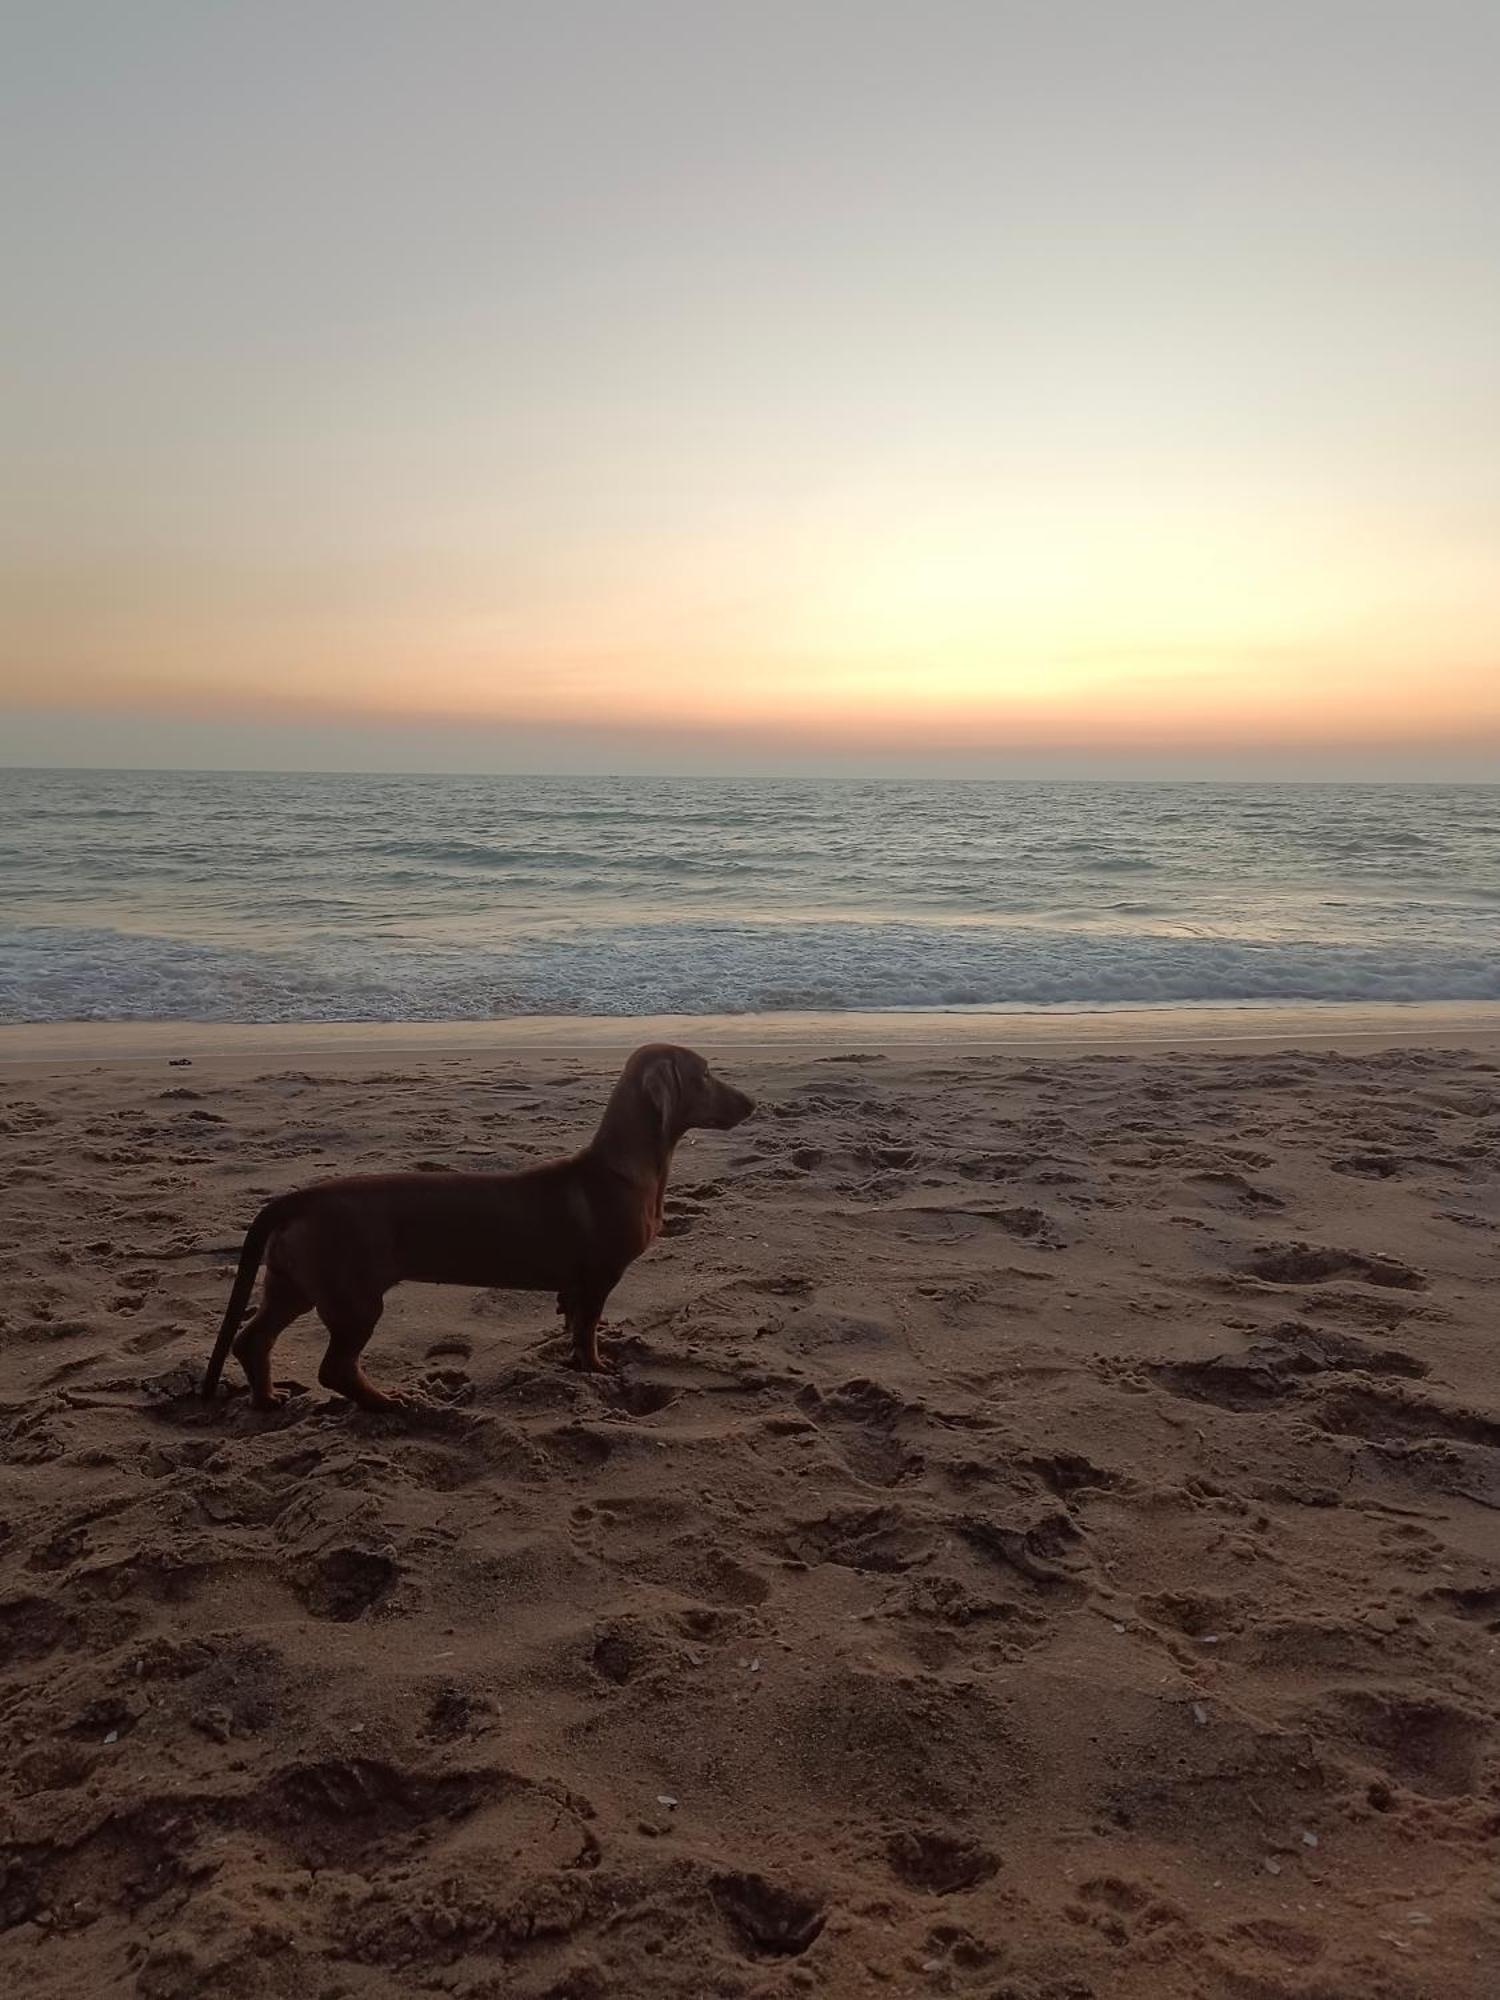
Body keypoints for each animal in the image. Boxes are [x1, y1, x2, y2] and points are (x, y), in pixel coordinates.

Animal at [203, 1040, 752, 1416]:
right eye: (705, 1075)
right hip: (354, 1299)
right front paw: (597, 1369)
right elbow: (589, 1330)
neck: (624, 1168)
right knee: (334, 1368)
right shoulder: (600, 1277)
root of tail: (298, 1198)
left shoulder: (577, 1286)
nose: (751, 1104)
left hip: (294, 1283)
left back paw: (267, 1397)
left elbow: (574, 1322)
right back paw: (388, 1402)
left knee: (252, 1340)